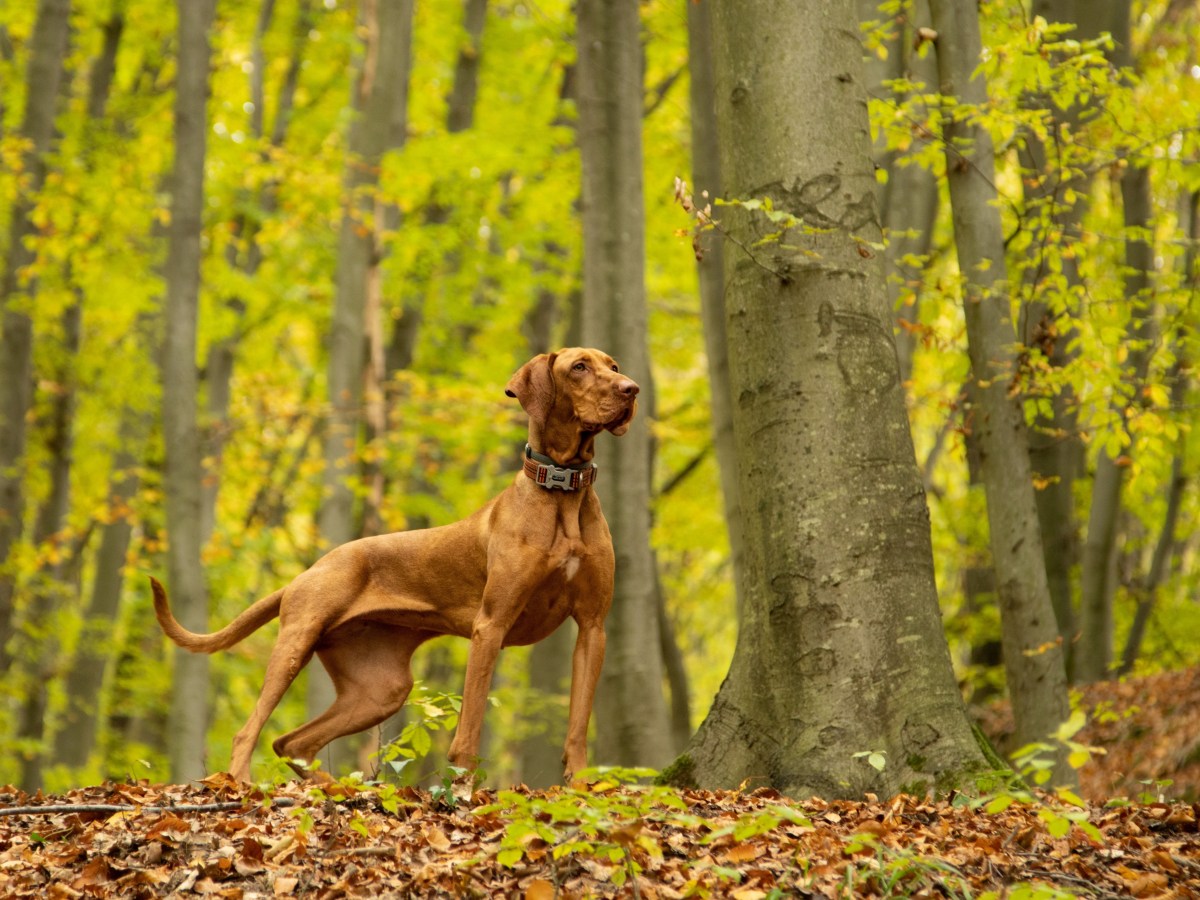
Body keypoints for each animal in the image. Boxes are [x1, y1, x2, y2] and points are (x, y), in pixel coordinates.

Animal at [152, 348, 638, 787]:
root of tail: (307, 571)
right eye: (579, 367)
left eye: (613, 365)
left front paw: (581, 789)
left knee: (292, 742)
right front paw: (463, 793)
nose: (631, 389)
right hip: (297, 641)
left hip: (380, 690)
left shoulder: (593, 628)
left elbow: (577, 728)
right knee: (249, 731)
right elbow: (469, 728)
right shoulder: (491, 625)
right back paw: (238, 782)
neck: (562, 492)